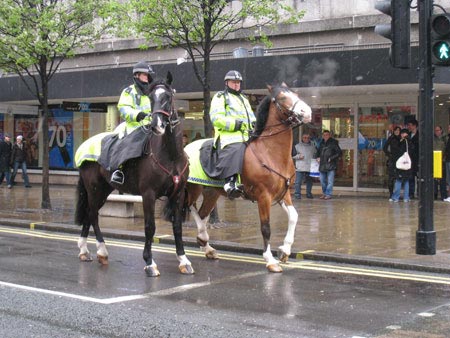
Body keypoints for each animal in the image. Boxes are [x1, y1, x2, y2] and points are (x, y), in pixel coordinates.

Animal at [74, 72, 193, 276]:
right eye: (151, 98)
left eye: (168, 97)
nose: (156, 125)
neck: (170, 156)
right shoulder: (148, 194)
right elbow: (150, 227)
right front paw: (150, 262)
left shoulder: (177, 194)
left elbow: (177, 227)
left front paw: (183, 260)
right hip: (94, 189)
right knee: (93, 215)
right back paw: (101, 251)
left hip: (104, 190)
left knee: (90, 213)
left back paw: (85, 251)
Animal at [185, 84, 312, 272]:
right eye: (282, 98)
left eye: (295, 94)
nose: (307, 111)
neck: (269, 153)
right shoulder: (264, 196)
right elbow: (266, 227)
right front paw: (270, 260)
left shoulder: (284, 193)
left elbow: (293, 217)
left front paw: (285, 250)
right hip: (193, 188)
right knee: (190, 209)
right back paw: (200, 237)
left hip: (212, 193)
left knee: (202, 213)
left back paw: (207, 246)